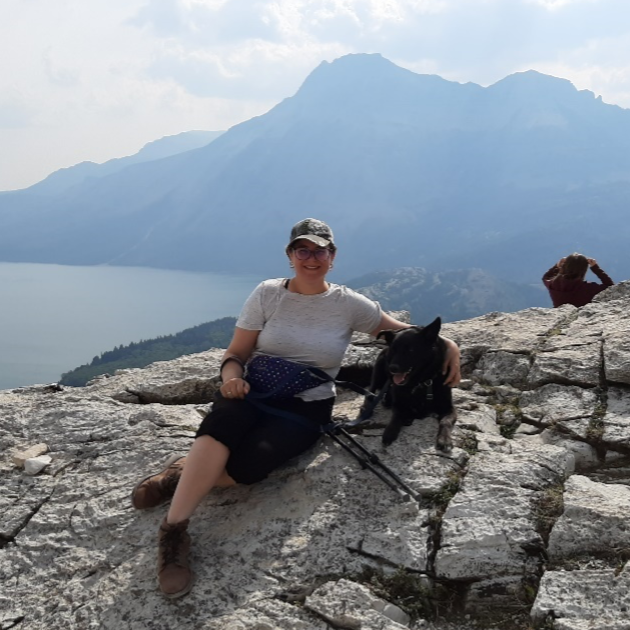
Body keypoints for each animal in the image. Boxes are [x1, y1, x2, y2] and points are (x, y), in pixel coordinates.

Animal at [368, 318, 456, 452]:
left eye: (410, 350)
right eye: (393, 349)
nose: (392, 368)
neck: (420, 382)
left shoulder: (448, 408)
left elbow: (445, 421)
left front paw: (444, 439)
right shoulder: (398, 404)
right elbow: (397, 416)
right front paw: (390, 432)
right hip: (379, 370)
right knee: (372, 390)